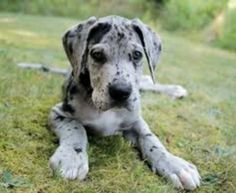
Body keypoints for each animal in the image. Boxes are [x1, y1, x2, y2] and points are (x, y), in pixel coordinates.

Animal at [48, 15, 201, 190]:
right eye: (97, 54)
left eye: (137, 54)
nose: (121, 92)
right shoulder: (58, 112)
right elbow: (75, 128)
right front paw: (71, 157)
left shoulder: (135, 120)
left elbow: (151, 138)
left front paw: (174, 164)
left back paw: (174, 89)